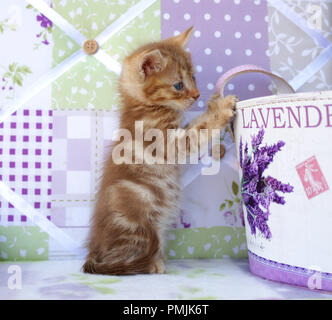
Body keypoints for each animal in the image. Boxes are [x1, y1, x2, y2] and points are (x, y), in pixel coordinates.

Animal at [84, 27, 237, 276]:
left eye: (194, 78)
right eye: (178, 85)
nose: (197, 95)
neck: (144, 107)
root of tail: (93, 252)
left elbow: (196, 124)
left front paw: (215, 103)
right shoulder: (168, 142)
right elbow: (200, 130)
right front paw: (221, 109)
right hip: (138, 225)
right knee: (123, 259)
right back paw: (152, 264)